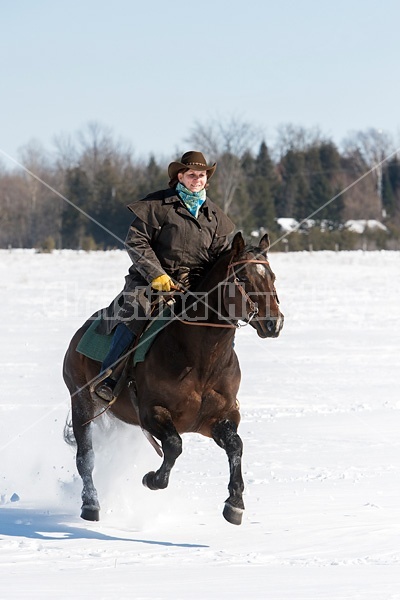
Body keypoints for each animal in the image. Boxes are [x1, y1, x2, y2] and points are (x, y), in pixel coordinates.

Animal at [63, 233, 284, 524]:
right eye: (243, 277)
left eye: (272, 277)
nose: (274, 323)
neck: (200, 360)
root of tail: (81, 330)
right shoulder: (151, 412)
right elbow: (174, 444)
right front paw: (152, 479)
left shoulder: (217, 418)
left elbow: (236, 446)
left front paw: (235, 503)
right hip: (82, 403)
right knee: (85, 457)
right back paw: (90, 504)